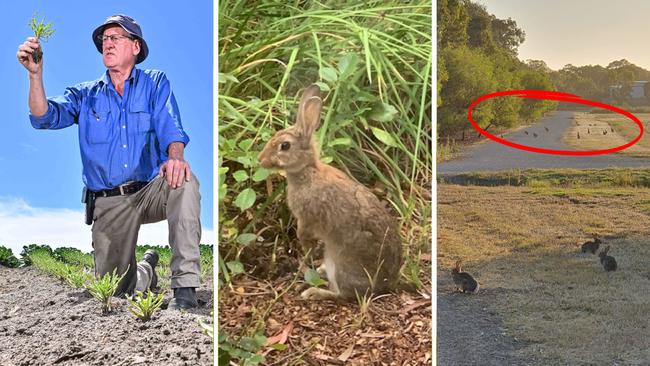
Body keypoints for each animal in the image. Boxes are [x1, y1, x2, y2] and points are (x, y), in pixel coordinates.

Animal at [256, 84, 400, 302]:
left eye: (285, 146)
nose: (260, 159)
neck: (308, 170)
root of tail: (386, 284)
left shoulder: (307, 218)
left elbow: (304, 235)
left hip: (340, 262)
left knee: (344, 294)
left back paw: (313, 291)